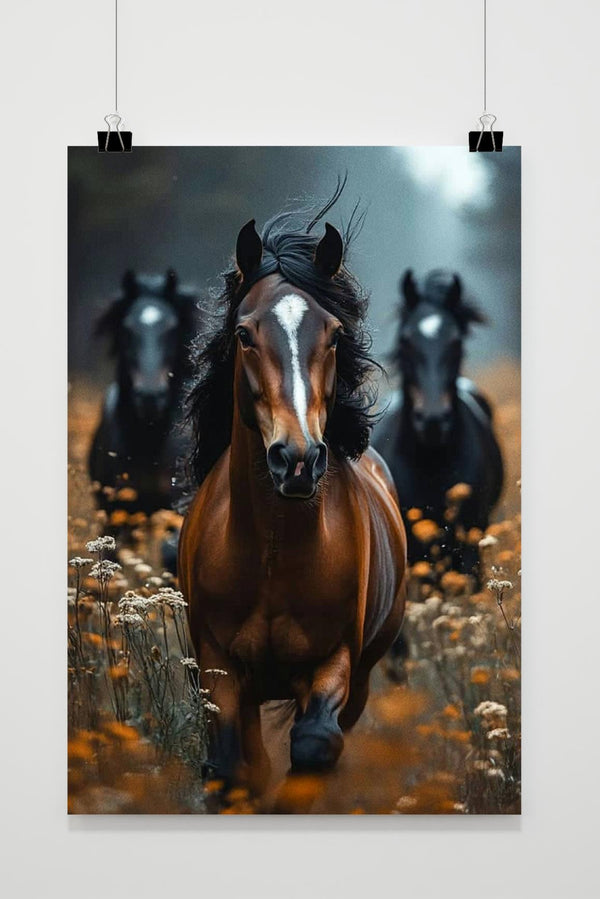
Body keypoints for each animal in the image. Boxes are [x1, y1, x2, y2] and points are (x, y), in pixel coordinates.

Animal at [178, 200, 407, 791]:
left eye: (334, 334)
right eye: (243, 334)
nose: (297, 459)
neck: (272, 551)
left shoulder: (334, 662)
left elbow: (314, 745)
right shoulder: (219, 667)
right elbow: (232, 767)